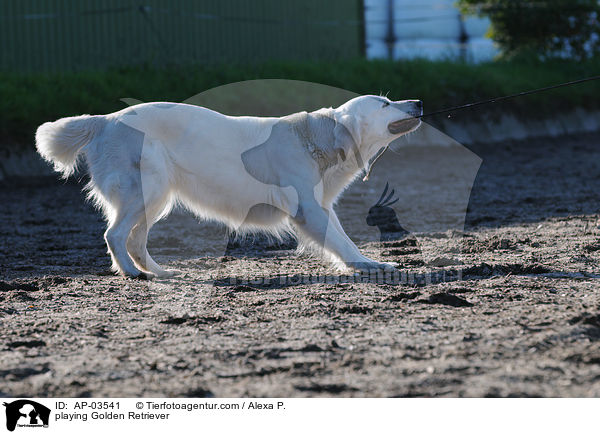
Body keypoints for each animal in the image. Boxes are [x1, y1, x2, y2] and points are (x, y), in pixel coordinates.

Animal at [36, 94, 422, 278]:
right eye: (386, 103)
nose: (418, 102)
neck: (315, 138)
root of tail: (104, 120)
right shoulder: (308, 208)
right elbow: (342, 242)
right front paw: (368, 266)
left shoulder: (321, 206)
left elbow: (342, 237)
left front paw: (366, 263)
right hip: (147, 190)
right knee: (115, 235)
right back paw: (132, 274)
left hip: (156, 198)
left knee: (134, 240)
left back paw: (158, 272)